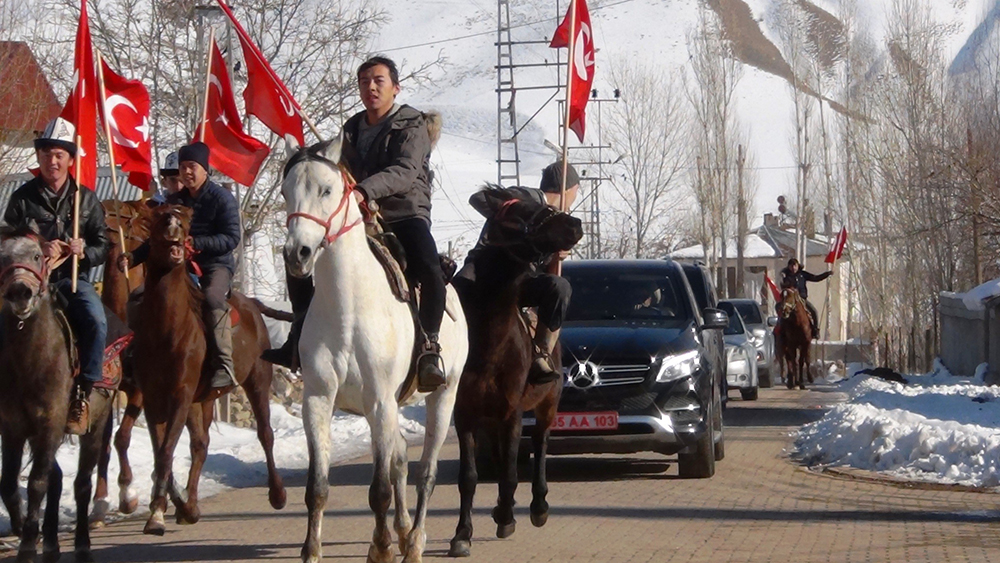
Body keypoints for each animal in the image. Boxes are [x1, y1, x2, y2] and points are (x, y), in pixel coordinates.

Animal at [0, 227, 117, 560]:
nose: (20, 292)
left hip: (95, 427)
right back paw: (52, 545)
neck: (31, 361)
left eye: (37, 255)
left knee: (82, 484)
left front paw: (27, 546)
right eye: (2, 256)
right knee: (58, 479)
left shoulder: (49, 423)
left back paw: (82, 545)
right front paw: (21, 529)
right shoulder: (13, 427)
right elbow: (9, 483)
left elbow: (37, 483)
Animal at [133, 205, 286, 536]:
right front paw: (163, 509)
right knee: (200, 446)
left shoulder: (180, 394)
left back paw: (277, 494)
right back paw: (189, 507)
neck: (167, 329)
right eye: (160, 216)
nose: (175, 231)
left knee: (265, 434)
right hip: (202, 400)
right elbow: (161, 452)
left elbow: (166, 451)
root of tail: (251, 303)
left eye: (184, 220)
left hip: (257, 380)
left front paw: (159, 513)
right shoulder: (154, 400)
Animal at [282, 138, 468, 563]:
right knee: (399, 458)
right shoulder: (319, 400)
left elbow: (379, 489)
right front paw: (312, 551)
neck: (348, 306)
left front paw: (382, 549)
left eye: (326, 190)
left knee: (425, 472)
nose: (297, 254)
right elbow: (318, 487)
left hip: (445, 395)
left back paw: (413, 541)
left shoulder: (381, 400)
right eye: (285, 193)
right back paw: (401, 530)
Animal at [448, 187, 584, 556]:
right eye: (520, 211)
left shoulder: (512, 411)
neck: (487, 344)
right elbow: (469, 476)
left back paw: (537, 507)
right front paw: (462, 534)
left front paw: (508, 518)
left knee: (540, 444)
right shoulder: (465, 414)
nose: (575, 224)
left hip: (547, 404)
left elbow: (510, 471)